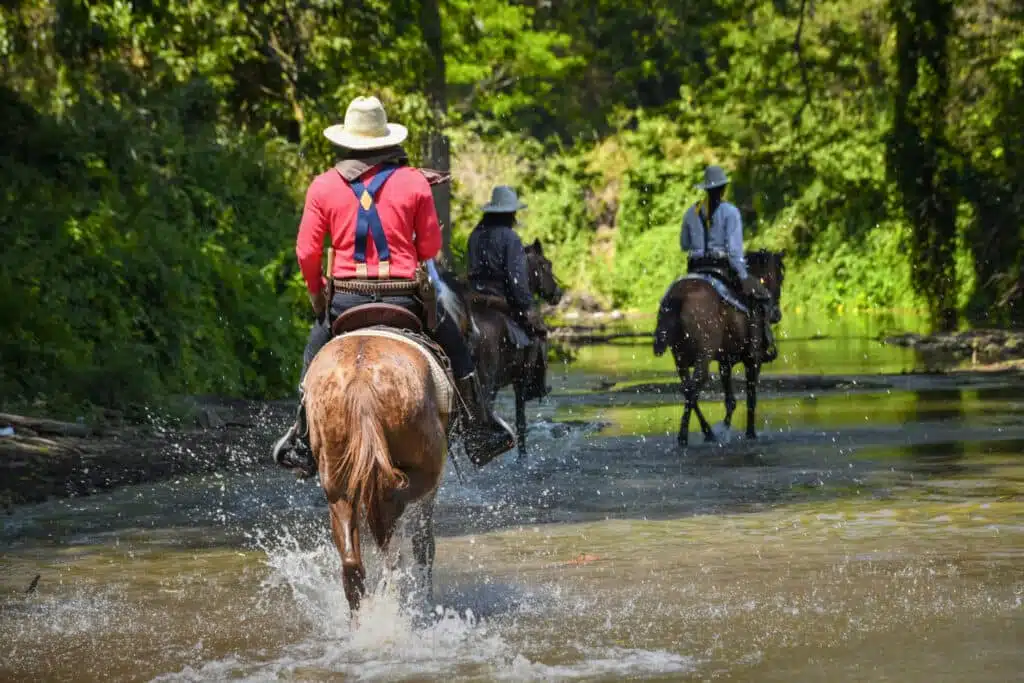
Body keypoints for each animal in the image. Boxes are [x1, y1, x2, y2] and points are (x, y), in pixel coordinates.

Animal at [303, 324, 453, 614]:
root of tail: (361, 384)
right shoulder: (430, 490)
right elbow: (424, 544)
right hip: (425, 471)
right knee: (394, 517)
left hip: (338, 486)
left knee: (353, 565)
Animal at [443, 239, 563, 457]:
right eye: (546, 265)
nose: (558, 294)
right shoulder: (520, 381)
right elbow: (521, 422)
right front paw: (522, 458)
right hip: (486, 385)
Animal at [652, 250, 785, 446]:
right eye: (780, 277)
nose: (776, 314)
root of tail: (680, 296)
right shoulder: (753, 360)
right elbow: (751, 398)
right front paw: (749, 433)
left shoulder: (724, 362)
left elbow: (730, 400)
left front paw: (725, 428)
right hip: (703, 357)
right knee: (694, 388)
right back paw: (685, 435)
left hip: (680, 358)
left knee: (688, 390)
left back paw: (707, 432)